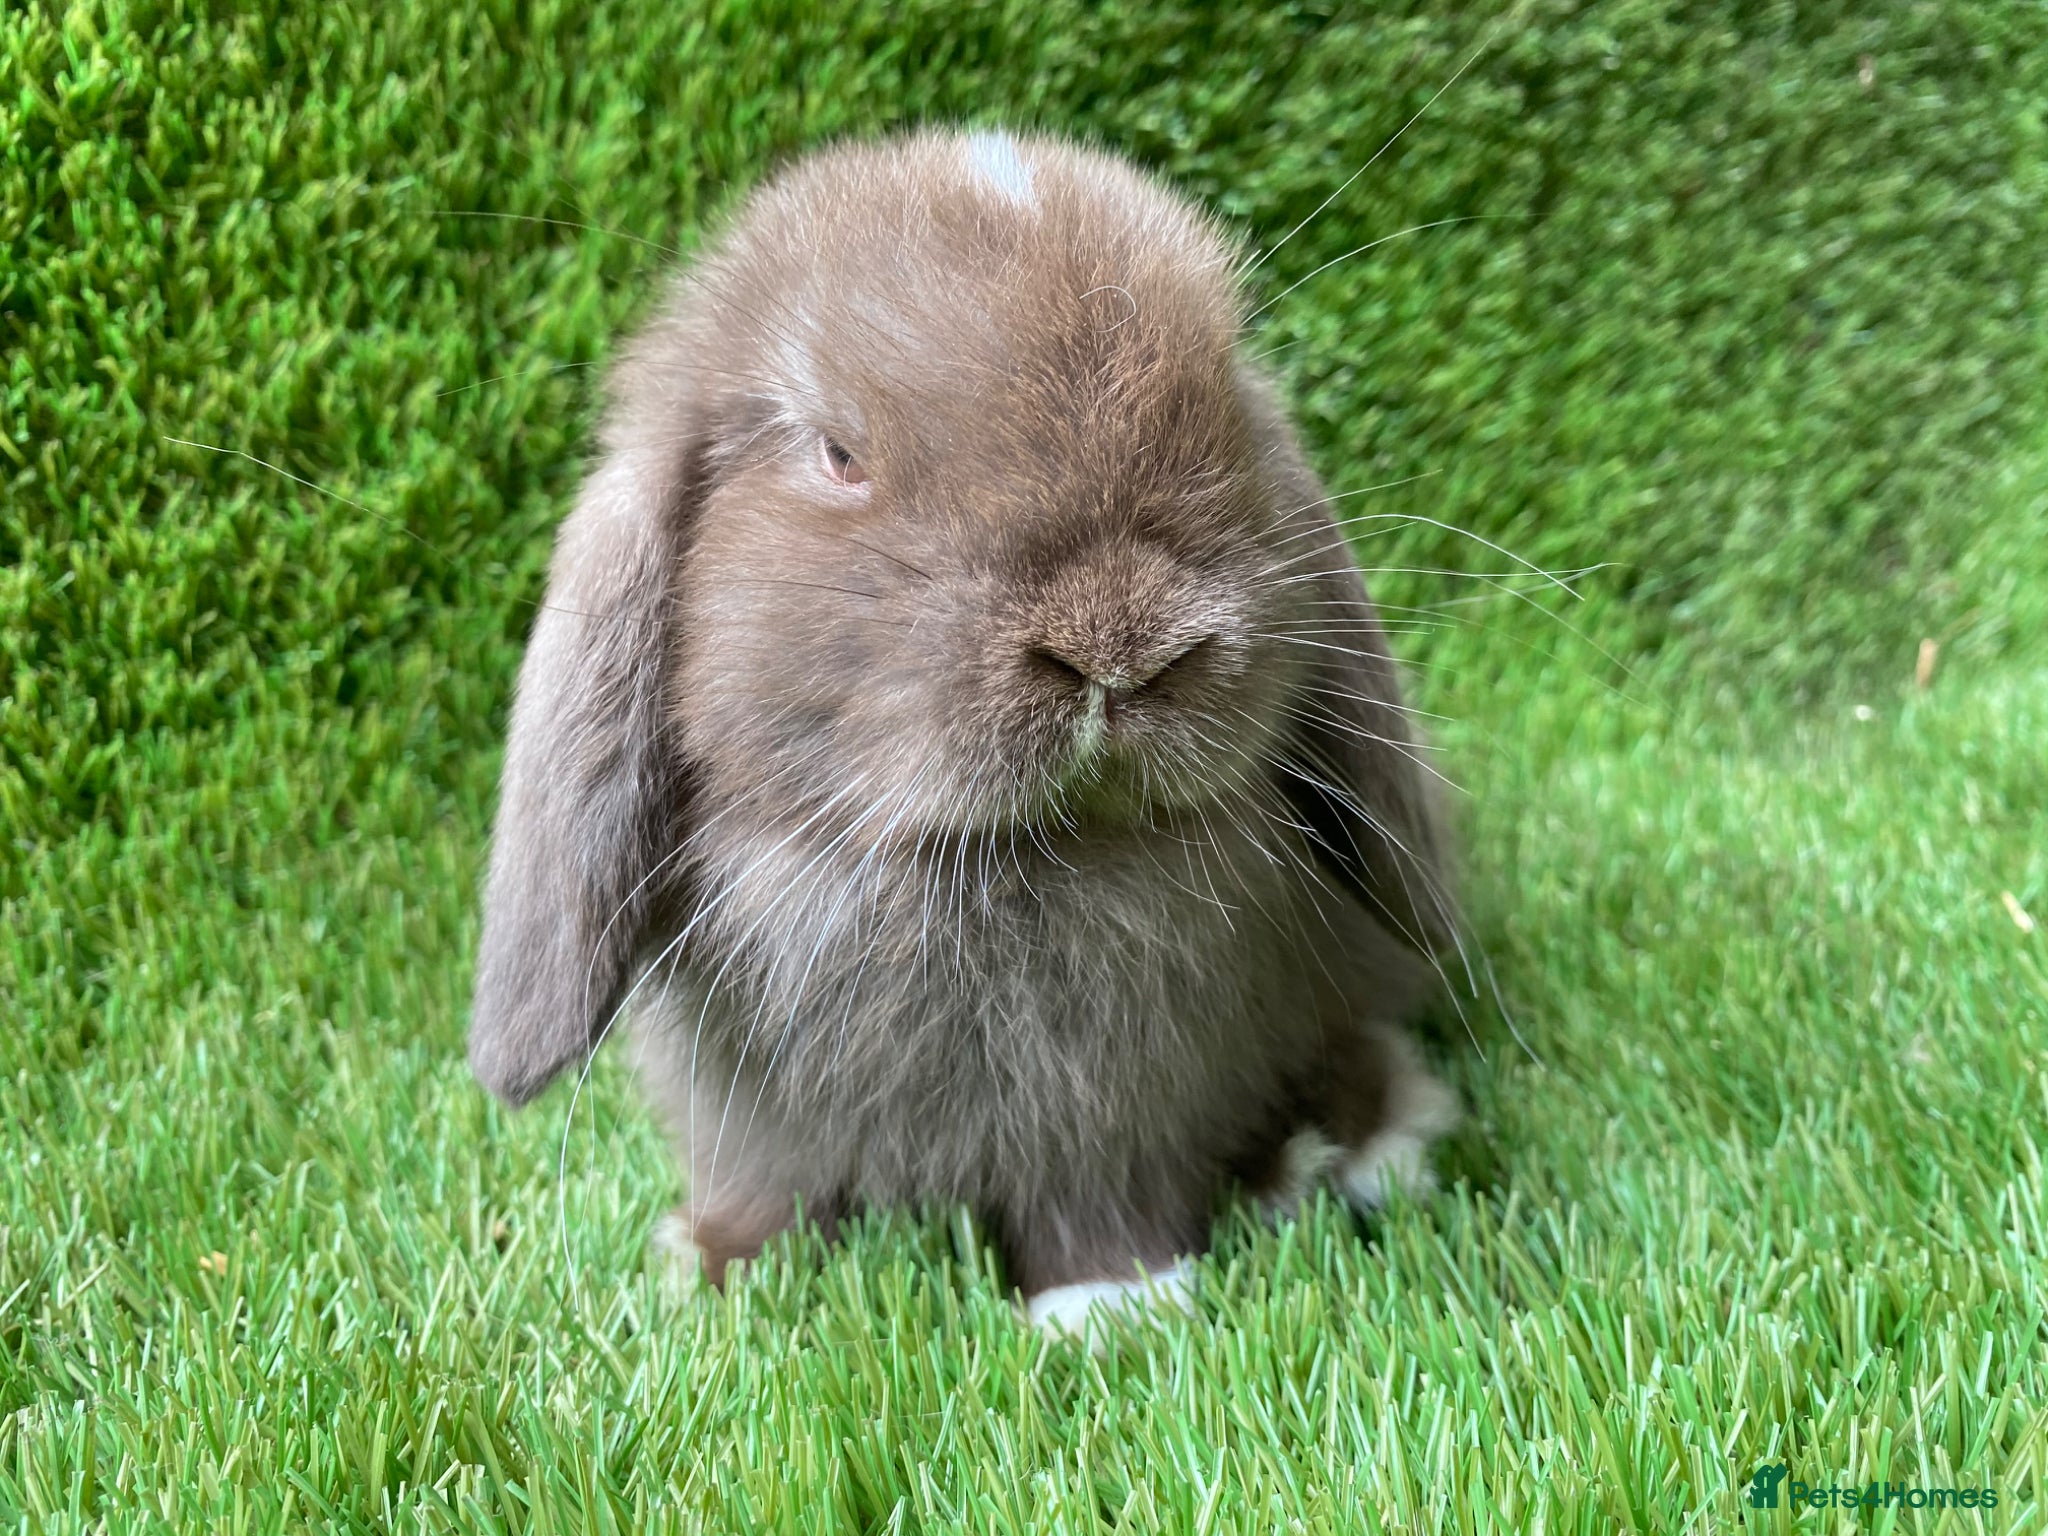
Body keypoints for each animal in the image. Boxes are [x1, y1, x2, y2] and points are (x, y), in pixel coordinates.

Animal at [468, 127, 1464, 1335]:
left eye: (1225, 406)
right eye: (838, 455)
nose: (1118, 643)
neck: (997, 859)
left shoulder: (1116, 1105)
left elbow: (1100, 1195)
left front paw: (1109, 1305)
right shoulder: (744, 1119)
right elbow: (763, 1192)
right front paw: (720, 1272)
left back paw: (1356, 1145)